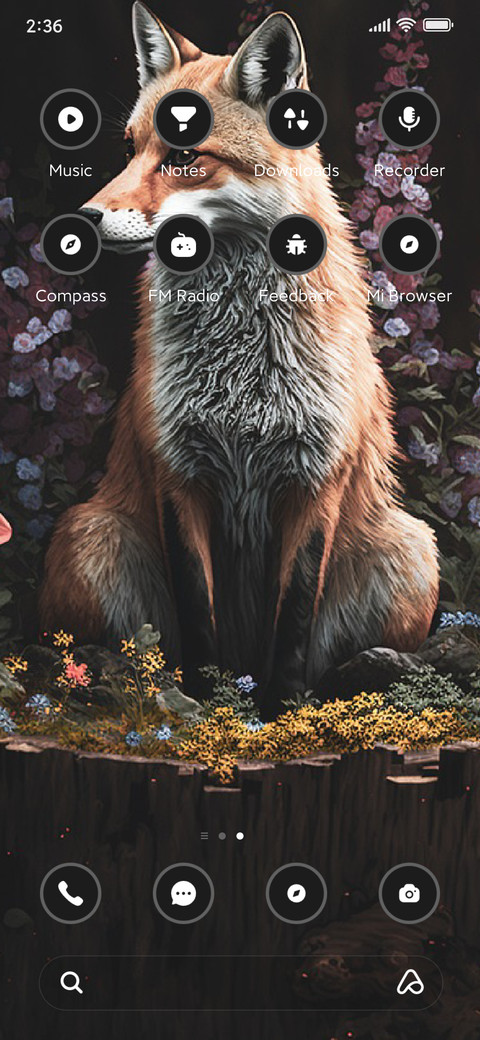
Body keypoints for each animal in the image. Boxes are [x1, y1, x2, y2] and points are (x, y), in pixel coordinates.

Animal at [41, 1, 439, 713]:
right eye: (131, 149)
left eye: (183, 154)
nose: (83, 219)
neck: (242, 367)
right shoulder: (178, 470)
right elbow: (198, 616)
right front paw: (210, 705)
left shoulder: (316, 479)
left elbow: (295, 619)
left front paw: (280, 712)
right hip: (90, 533)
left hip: (412, 547)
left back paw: (364, 674)